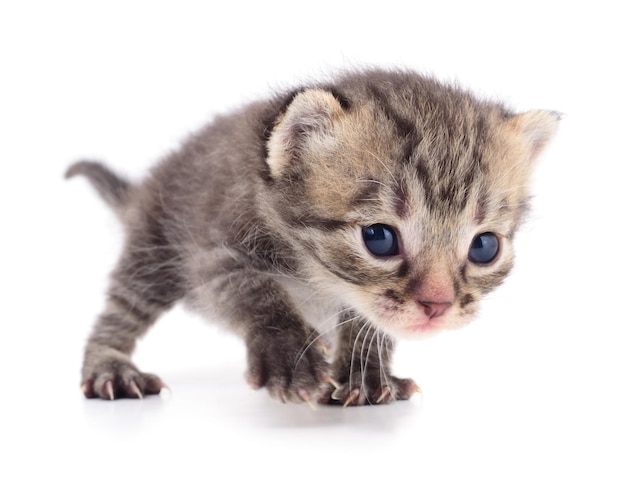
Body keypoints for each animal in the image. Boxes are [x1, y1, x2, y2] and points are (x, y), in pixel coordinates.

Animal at [67, 68, 556, 408]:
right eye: (379, 238)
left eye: (484, 247)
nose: (437, 306)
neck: (317, 276)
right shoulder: (213, 253)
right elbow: (255, 291)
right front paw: (290, 359)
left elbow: (366, 319)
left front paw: (364, 374)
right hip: (153, 247)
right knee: (121, 311)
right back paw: (111, 369)